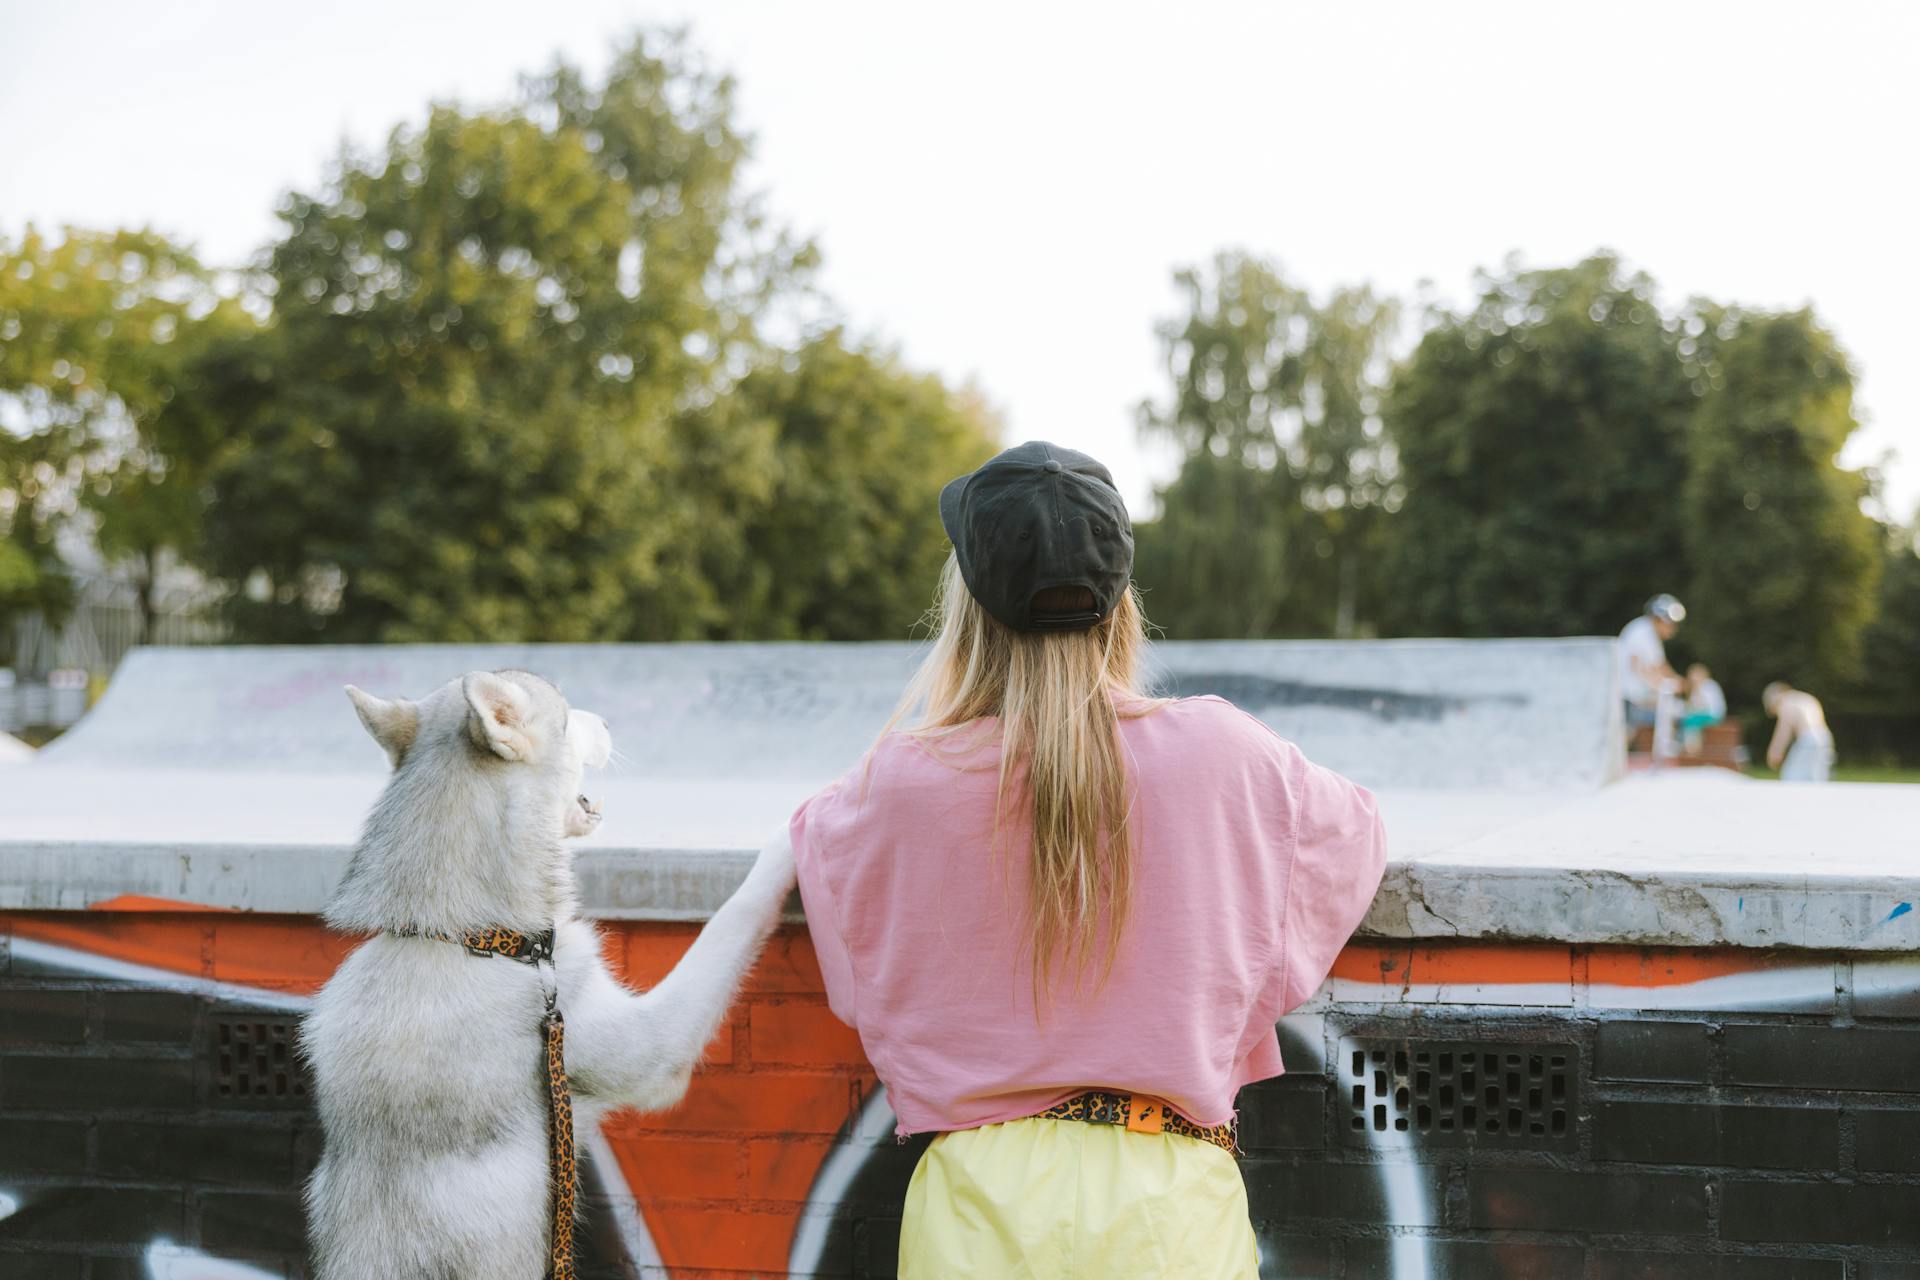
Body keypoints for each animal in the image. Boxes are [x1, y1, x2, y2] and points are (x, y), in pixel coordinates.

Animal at [301, 671, 794, 1280]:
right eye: (565, 715)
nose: (607, 720)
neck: (470, 941)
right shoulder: (653, 1049)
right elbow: (733, 918)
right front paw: (794, 832)